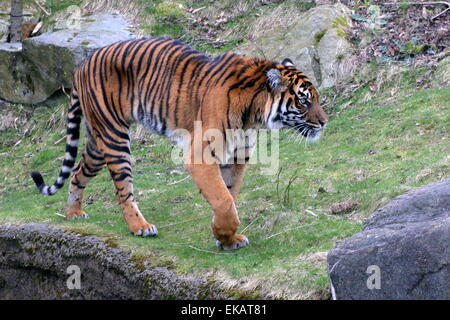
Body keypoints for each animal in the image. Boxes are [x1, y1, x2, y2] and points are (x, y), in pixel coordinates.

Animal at [31, 37, 326, 251]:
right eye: (304, 100)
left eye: (316, 98)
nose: (324, 122)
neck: (253, 115)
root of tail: (81, 64)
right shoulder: (202, 156)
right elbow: (223, 200)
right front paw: (224, 234)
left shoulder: (236, 158)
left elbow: (229, 195)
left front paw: (226, 238)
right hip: (114, 137)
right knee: (123, 190)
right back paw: (140, 227)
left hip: (97, 140)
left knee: (78, 172)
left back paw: (73, 212)